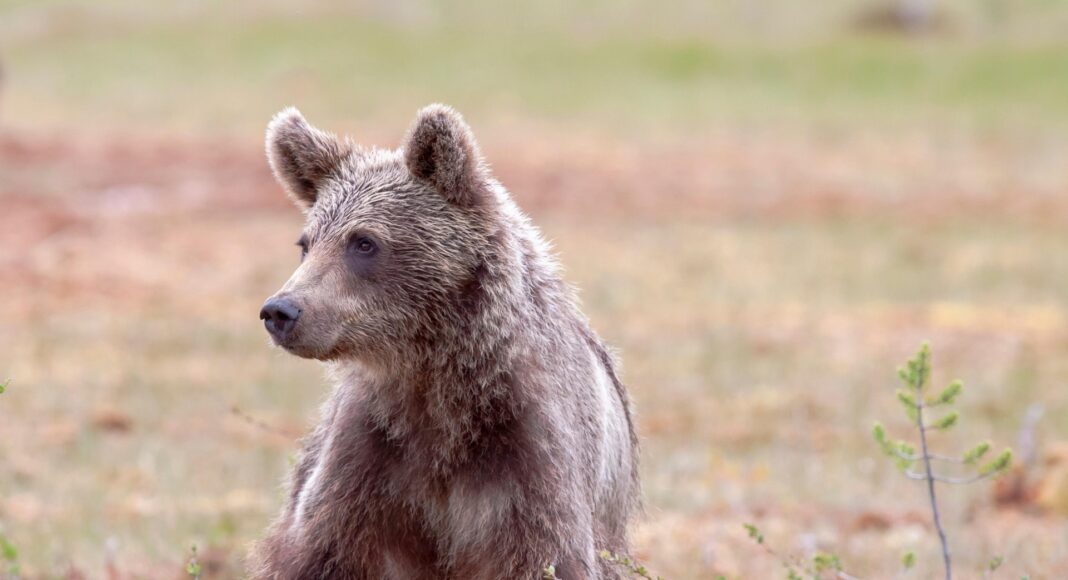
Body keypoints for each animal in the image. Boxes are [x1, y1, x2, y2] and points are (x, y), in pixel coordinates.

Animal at [251, 104, 640, 580]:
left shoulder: (530, 456)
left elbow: (545, 554)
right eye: (306, 243)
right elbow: (321, 553)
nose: (281, 311)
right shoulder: (368, 459)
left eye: (364, 242)